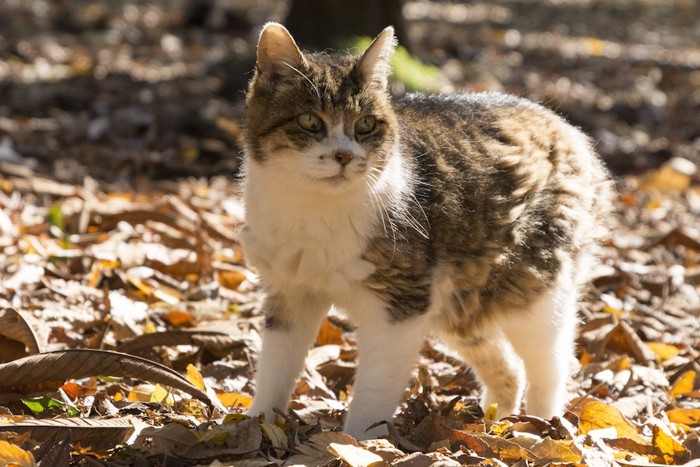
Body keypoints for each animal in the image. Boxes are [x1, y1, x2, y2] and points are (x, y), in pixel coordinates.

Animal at [238, 21, 608, 438]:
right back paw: (495, 423)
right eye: (309, 122)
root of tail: (565, 125)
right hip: (458, 303)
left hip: (532, 288)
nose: (344, 156)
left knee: (551, 362)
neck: (313, 208)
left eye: (365, 125)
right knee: (509, 368)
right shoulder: (291, 294)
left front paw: (356, 444)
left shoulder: (400, 303)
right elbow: (275, 368)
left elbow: (374, 391)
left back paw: (541, 426)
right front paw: (255, 427)